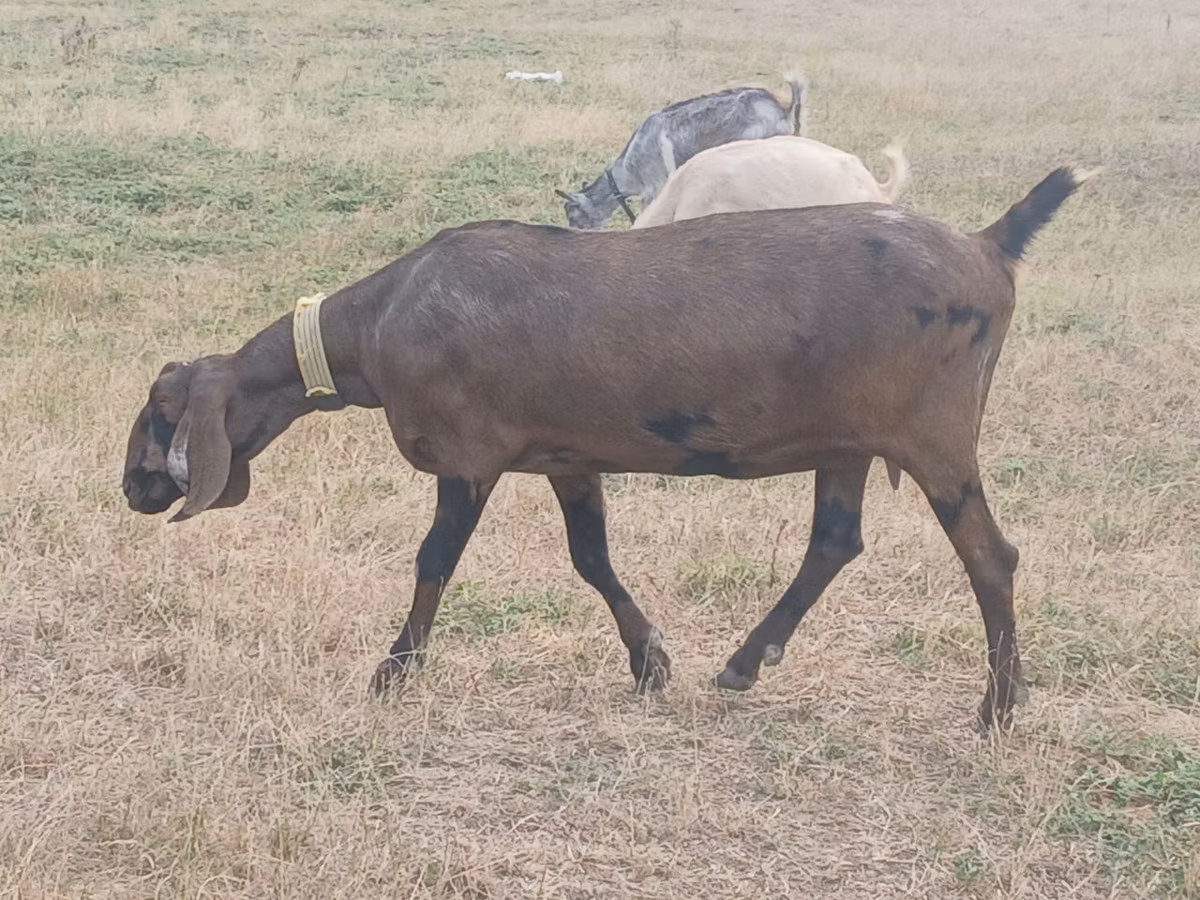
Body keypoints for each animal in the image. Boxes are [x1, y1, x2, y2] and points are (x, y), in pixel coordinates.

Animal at [122, 165, 1097, 728]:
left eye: (163, 410)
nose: (134, 490)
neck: (377, 327)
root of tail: (989, 247)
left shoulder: (470, 455)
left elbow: (434, 560)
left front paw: (394, 672)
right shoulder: (567, 457)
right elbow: (590, 558)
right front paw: (650, 661)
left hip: (935, 434)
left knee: (990, 556)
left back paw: (997, 708)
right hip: (851, 436)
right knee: (835, 541)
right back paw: (745, 663)